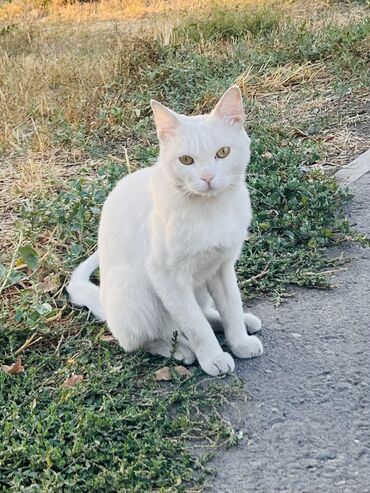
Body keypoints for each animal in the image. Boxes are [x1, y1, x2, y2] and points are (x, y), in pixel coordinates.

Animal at [67, 86, 264, 374]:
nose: (207, 177)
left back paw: (243, 323)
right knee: (145, 339)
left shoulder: (222, 266)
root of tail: (105, 304)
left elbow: (230, 306)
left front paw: (239, 341)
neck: (210, 210)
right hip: (133, 289)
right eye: (186, 160)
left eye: (223, 152)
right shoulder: (167, 276)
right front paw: (213, 357)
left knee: (202, 314)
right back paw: (181, 350)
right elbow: (195, 325)